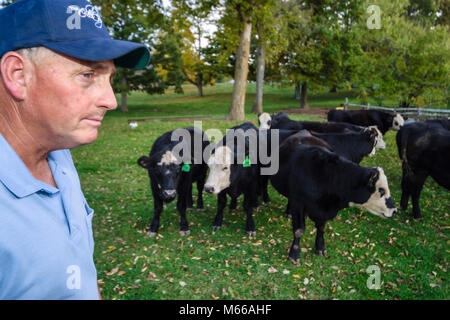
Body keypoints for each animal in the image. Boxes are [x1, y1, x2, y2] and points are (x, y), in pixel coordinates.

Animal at [268, 140, 396, 262]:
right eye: (381, 190)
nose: (394, 210)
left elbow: (321, 228)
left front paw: (320, 248)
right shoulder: (299, 203)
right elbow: (299, 230)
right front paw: (294, 255)